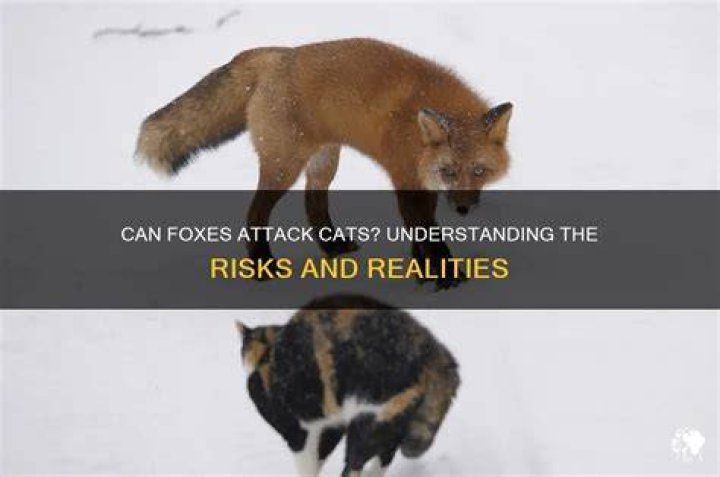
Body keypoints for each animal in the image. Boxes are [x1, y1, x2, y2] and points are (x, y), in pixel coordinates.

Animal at [136, 38, 513, 288]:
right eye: (449, 171)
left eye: (479, 171)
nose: (463, 209)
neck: (415, 130)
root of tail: (275, 53)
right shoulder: (406, 177)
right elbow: (428, 234)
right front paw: (447, 278)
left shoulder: (421, 181)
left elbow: (421, 232)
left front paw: (423, 273)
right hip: (284, 167)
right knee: (255, 214)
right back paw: (263, 267)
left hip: (324, 163)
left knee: (313, 205)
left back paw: (333, 248)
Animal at [236, 294, 460, 477]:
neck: (267, 354)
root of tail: (435, 356)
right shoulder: (332, 422)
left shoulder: (297, 431)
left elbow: (307, 465)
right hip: (391, 423)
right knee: (384, 457)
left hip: (368, 422)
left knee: (353, 465)